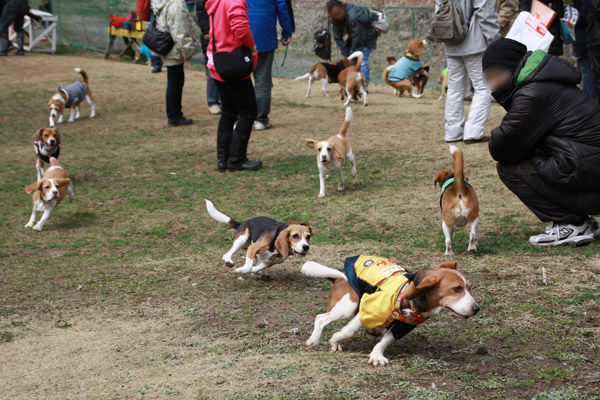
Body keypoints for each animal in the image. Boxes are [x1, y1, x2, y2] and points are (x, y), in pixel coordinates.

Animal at [302, 256, 480, 366]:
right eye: (457, 289)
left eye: (469, 287)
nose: (477, 309)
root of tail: (340, 277)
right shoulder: (369, 308)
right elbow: (349, 330)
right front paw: (335, 339)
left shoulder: (403, 327)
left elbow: (386, 340)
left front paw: (376, 355)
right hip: (348, 305)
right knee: (321, 318)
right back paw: (314, 340)